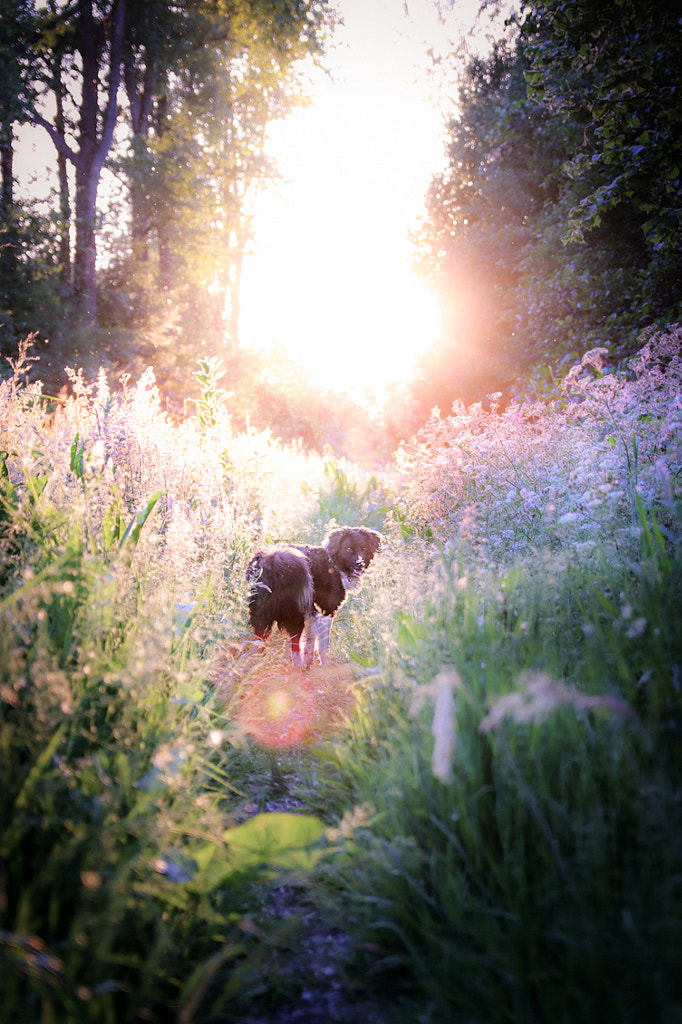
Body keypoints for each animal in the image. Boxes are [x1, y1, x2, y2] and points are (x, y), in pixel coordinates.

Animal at [245, 528, 382, 671]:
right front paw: (325, 666)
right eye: (348, 549)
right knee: (294, 647)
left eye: (364, 548)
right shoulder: (325, 612)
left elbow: (309, 643)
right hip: (294, 616)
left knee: (258, 643)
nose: (359, 564)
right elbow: (322, 645)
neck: (333, 562)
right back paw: (298, 671)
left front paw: (309, 665)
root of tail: (275, 559)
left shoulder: (311, 614)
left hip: (262, 615)